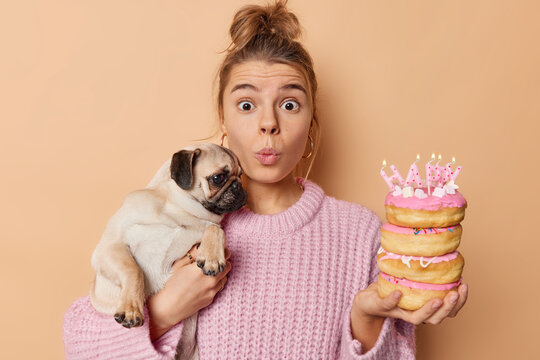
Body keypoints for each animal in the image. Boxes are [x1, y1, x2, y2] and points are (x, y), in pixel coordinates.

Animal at [90, 142, 247, 358]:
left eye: (240, 175)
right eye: (218, 178)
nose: (239, 186)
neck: (178, 210)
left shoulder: (205, 228)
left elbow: (215, 229)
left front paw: (212, 256)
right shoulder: (111, 246)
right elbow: (133, 270)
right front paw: (132, 309)